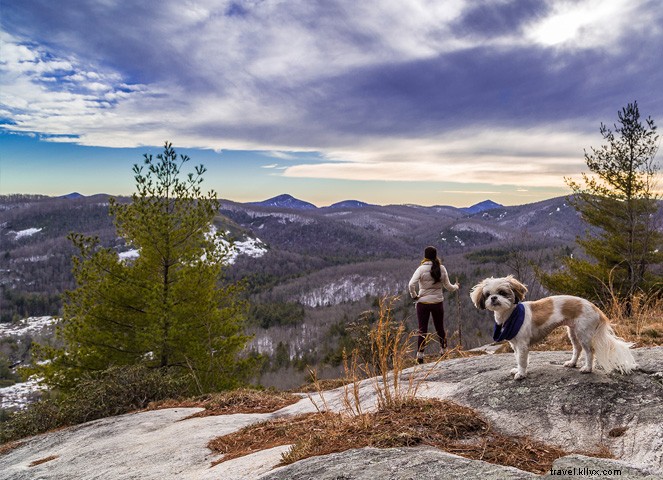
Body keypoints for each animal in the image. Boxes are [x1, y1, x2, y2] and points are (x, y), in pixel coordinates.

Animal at [470, 276, 636, 380]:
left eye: (502, 292)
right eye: (487, 294)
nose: (494, 298)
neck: (510, 315)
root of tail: (595, 308)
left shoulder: (522, 345)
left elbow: (522, 360)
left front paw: (521, 374)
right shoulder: (515, 345)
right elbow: (517, 358)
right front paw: (517, 369)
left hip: (584, 333)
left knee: (589, 352)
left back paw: (587, 368)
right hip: (573, 332)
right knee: (577, 349)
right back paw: (572, 363)